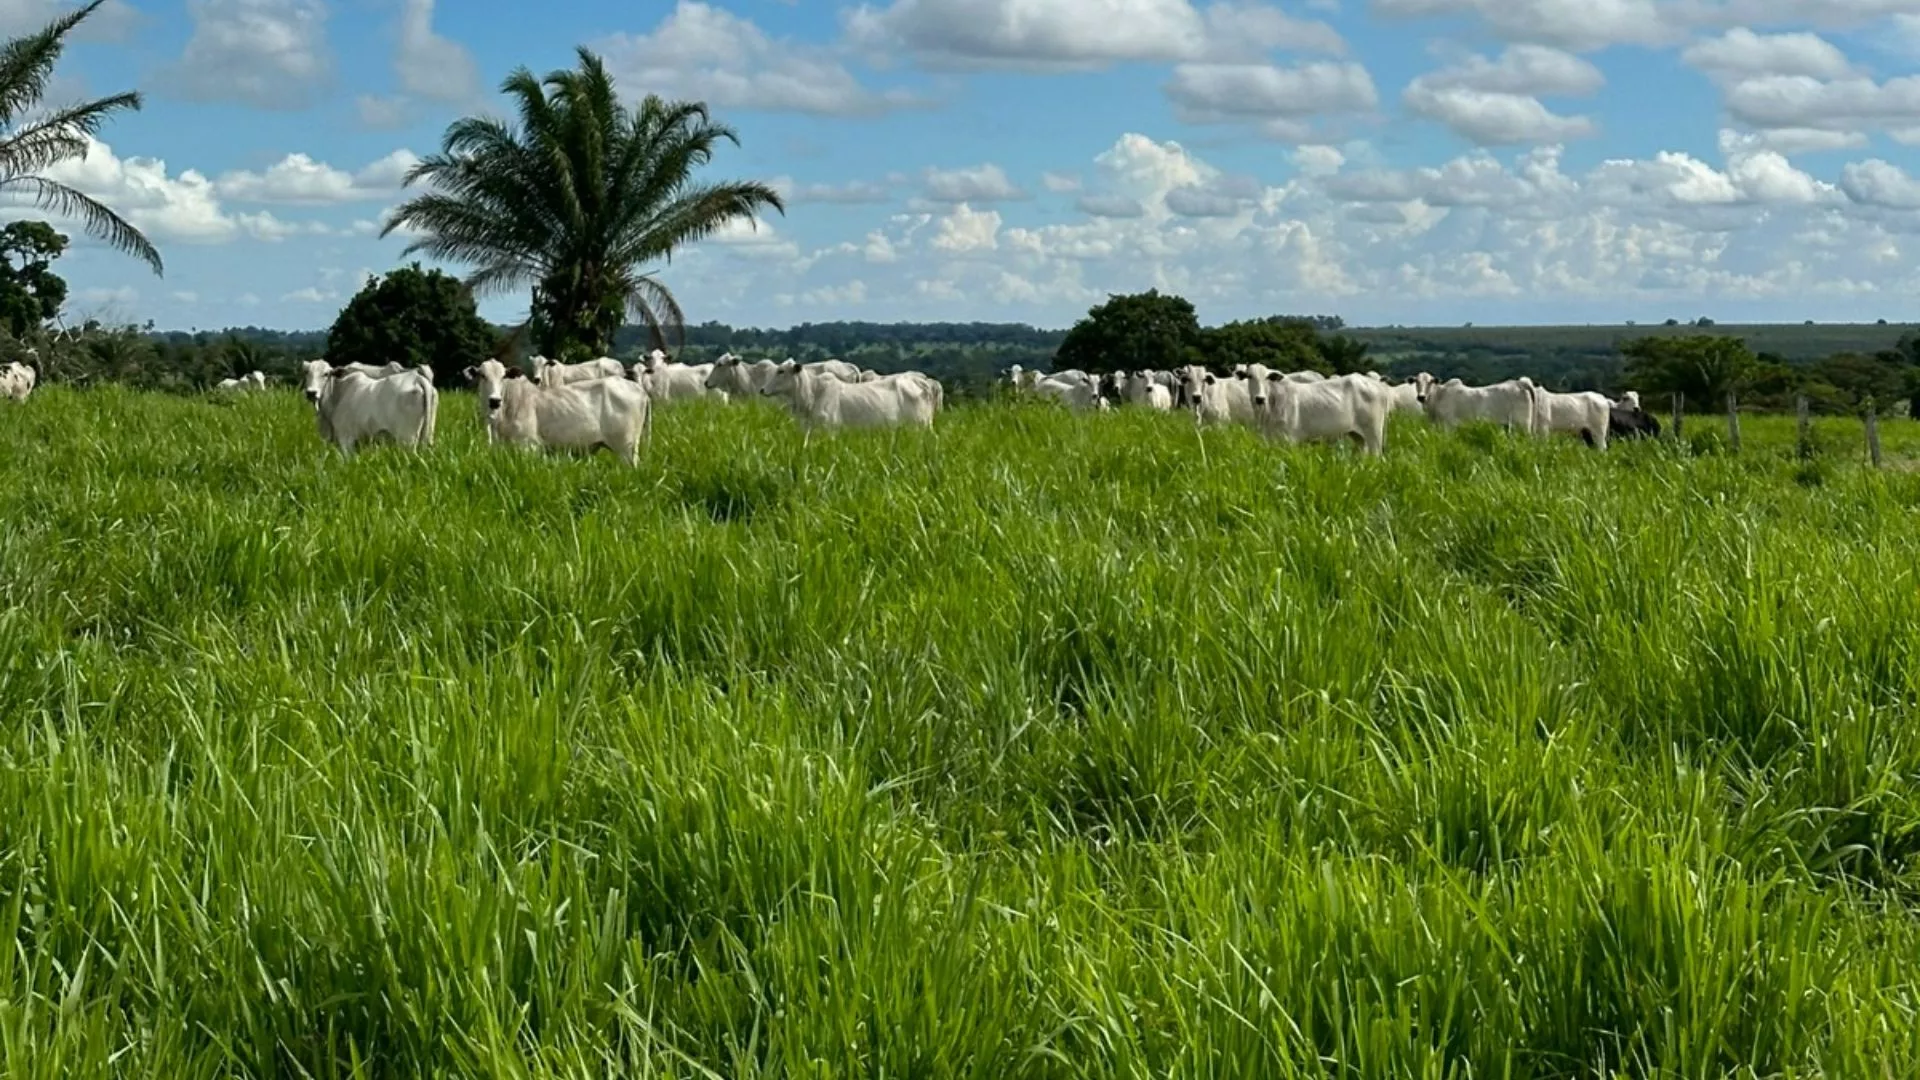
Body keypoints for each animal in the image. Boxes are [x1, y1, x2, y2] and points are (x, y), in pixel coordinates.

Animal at [466, 361, 648, 463]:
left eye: (504, 376)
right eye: (482, 375)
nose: (494, 400)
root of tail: (640, 389)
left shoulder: (528, 446)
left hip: (626, 449)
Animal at [1244, 372, 1397, 451]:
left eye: (1267, 377)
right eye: (1249, 376)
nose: (1259, 398)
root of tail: (1380, 388)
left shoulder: (1290, 440)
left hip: (1374, 434)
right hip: (1358, 436)